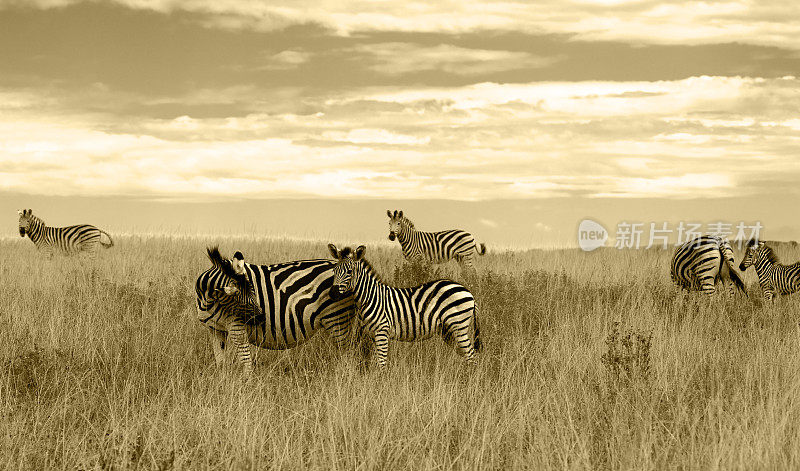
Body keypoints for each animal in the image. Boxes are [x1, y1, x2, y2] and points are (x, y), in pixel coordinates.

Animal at [194, 247, 360, 372]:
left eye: (253, 291)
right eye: (237, 299)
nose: (261, 317)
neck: (208, 301)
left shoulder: (237, 327)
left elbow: (246, 362)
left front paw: (246, 386)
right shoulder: (215, 329)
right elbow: (221, 362)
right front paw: (222, 382)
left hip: (337, 318)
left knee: (348, 353)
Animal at [326, 245, 482, 370]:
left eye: (349, 272)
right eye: (334, 270)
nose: (332, 293)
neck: (370, 297)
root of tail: (468, 292)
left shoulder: (382, 331)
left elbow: (381, 363)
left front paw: (381, 384)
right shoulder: (372, 334)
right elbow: (376, 361)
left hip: (458, 326)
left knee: (471, 356)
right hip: (448, 331)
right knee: (467, 354)